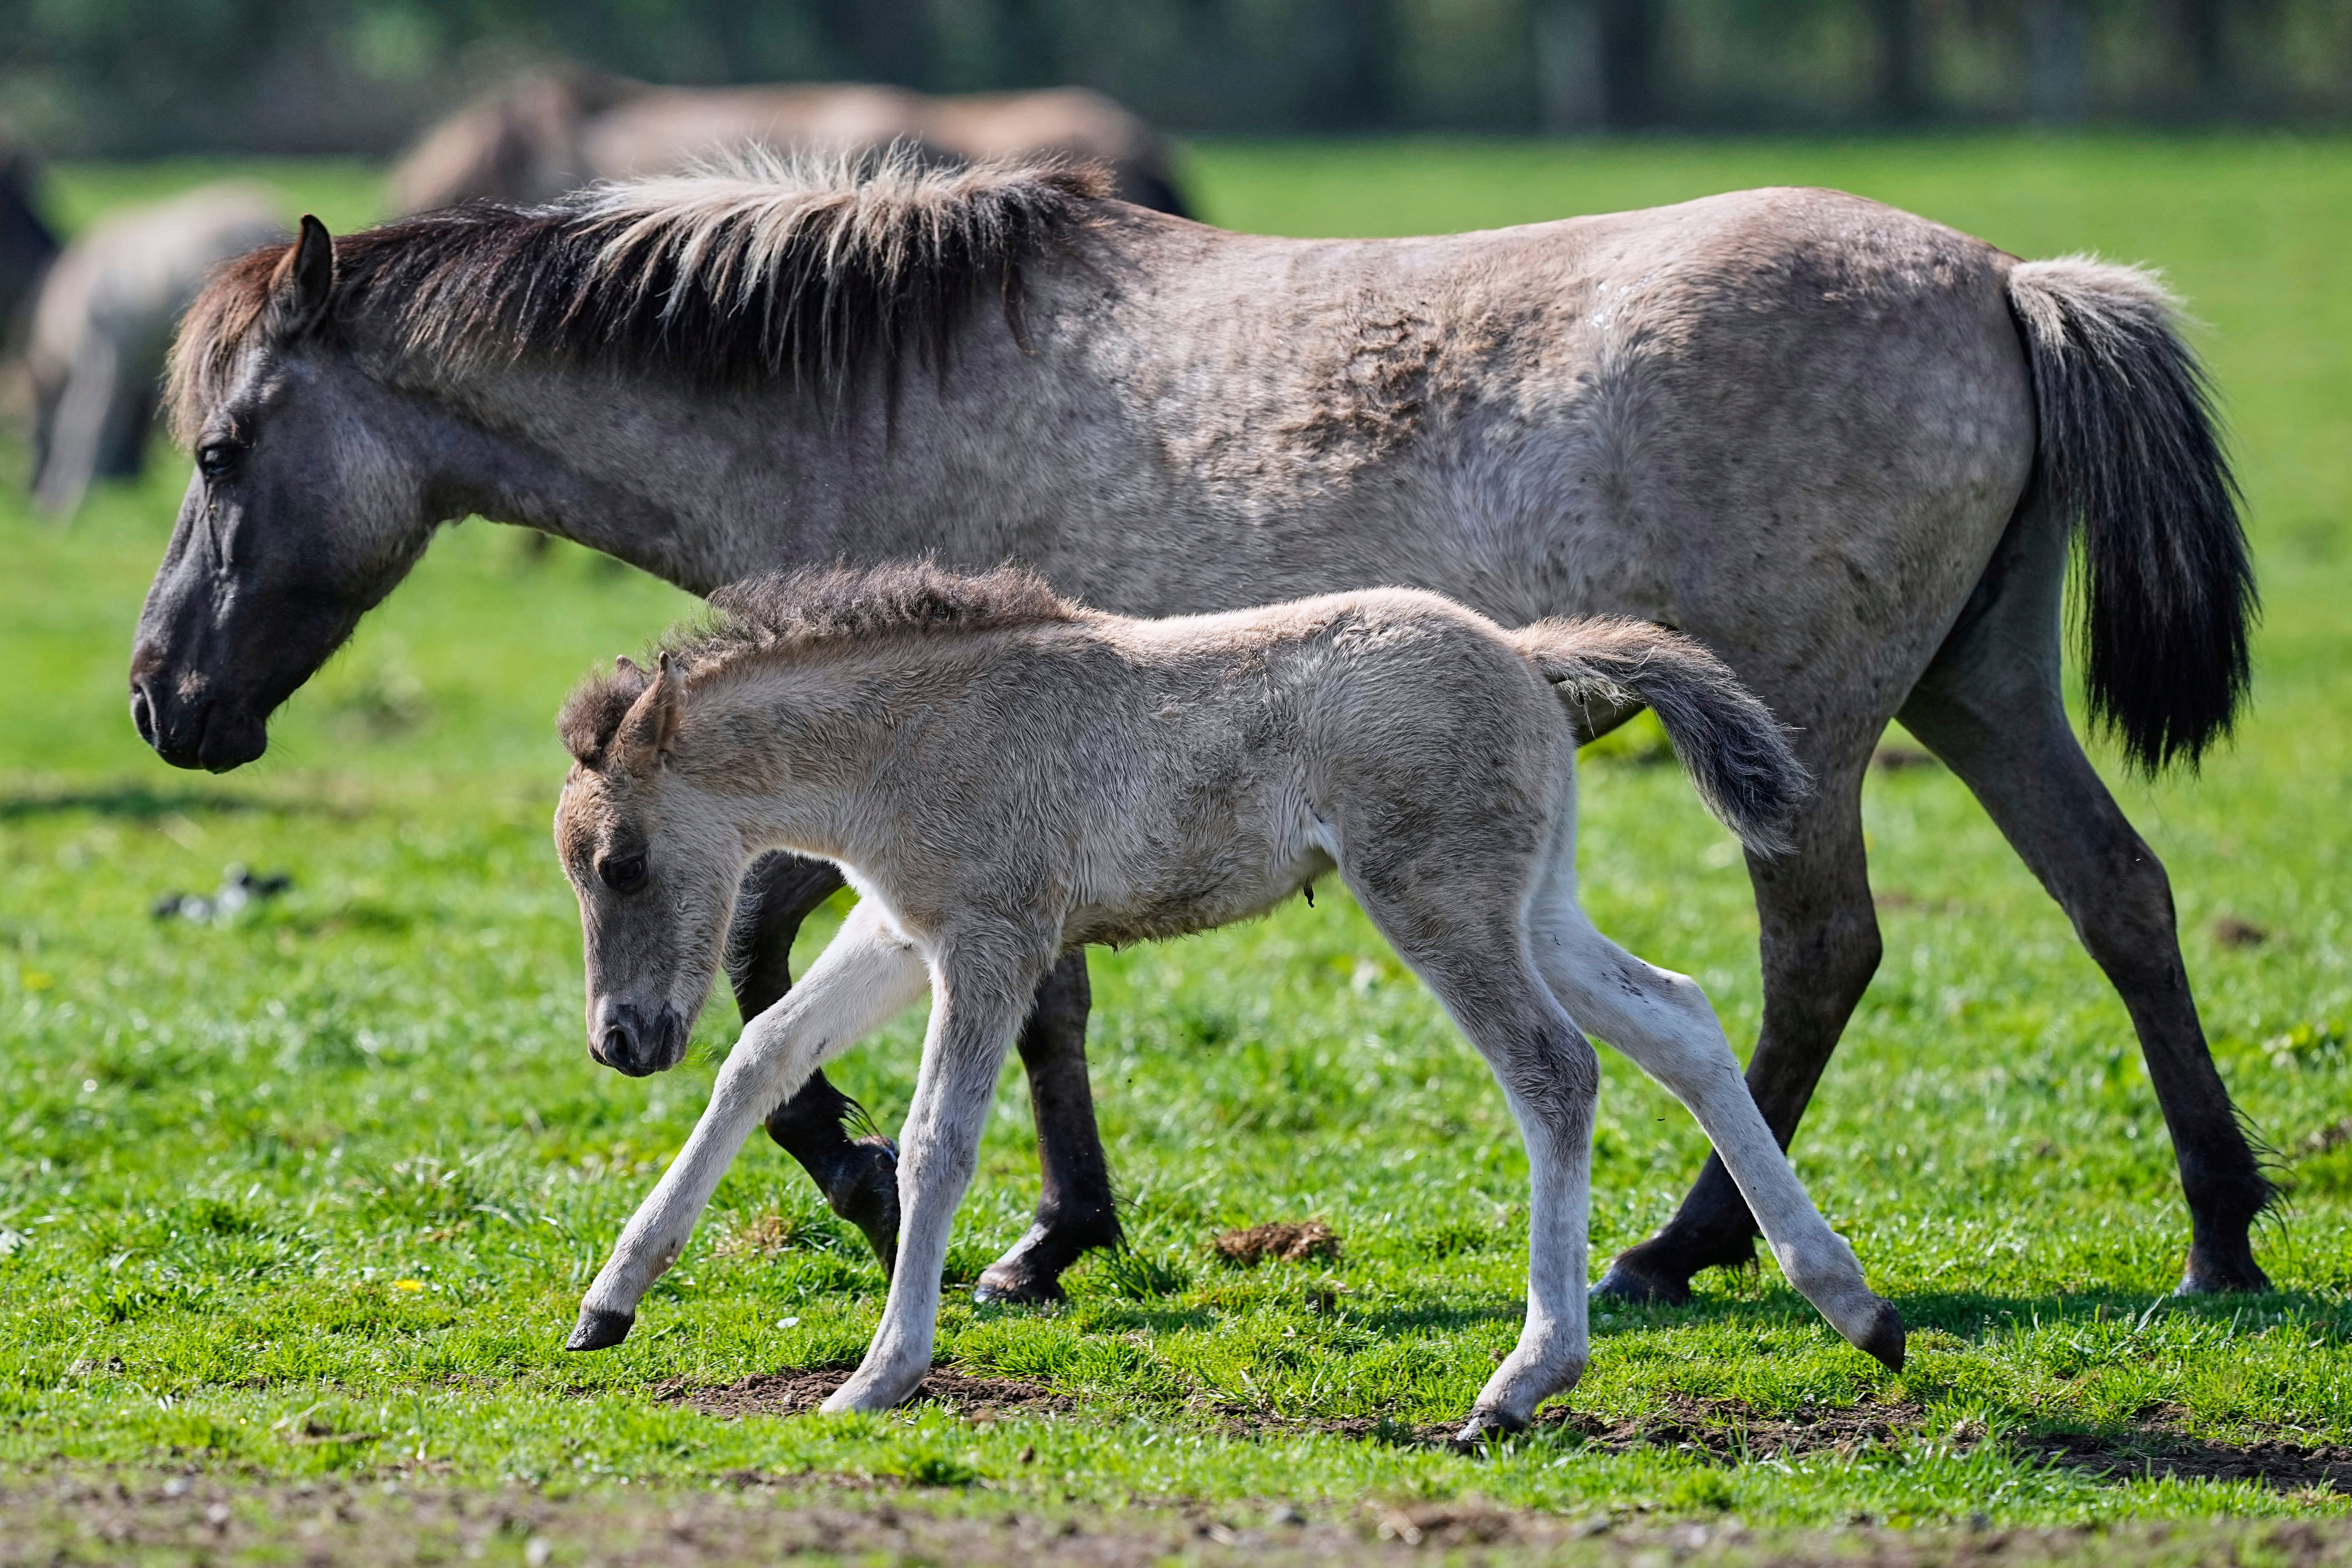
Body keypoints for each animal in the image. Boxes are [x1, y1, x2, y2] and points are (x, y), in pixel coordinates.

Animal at [136, 156, 2265, 1312]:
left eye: (224, 451)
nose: (165, 697)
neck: (863, 397)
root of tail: (2002, 278)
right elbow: (915, 990)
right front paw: (1019, 1219)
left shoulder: (932, 790)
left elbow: (799, 969)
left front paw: (945, 1209)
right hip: (1974, 698)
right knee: (2120, 900)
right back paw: (2219, 1232)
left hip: (1812, 738)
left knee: (1818, 956)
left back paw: (1679, 1250)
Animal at [551, 562, 1906, 1437]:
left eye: (620, 863)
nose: (619, 1041)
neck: (916, 737)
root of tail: (1527, 659)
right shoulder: (899, 933)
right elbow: (763, 1055)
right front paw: (608, 1301)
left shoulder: (991, 937)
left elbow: (940, 1140)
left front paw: (880, 1375)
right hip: (1532, 903)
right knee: (1677, 1017)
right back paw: (1852, 1303)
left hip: (1436, 900)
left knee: (1553, 1070)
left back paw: (1521, 1380)